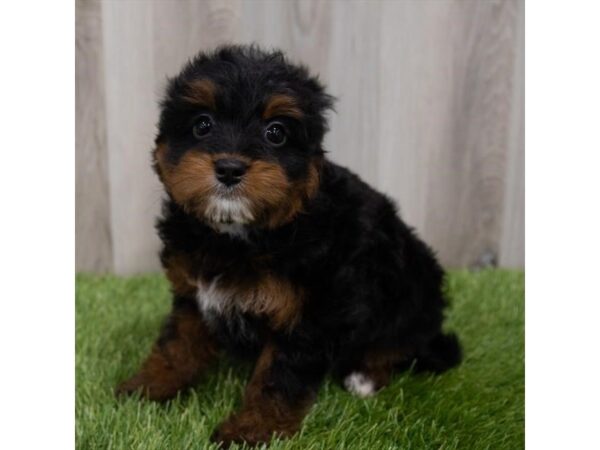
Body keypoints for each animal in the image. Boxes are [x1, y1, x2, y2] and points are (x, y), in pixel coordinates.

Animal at [118, 45, 464, 446]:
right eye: (202, 125)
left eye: (276, 133)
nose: (230, 168)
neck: (240, 234)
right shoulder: (193, 293)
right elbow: (177, 344)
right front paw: (148, 386)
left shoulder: (309, 312)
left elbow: (278, 377)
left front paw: (252, 429)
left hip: (408, 291)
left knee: (403, 342)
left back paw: (365, 375)